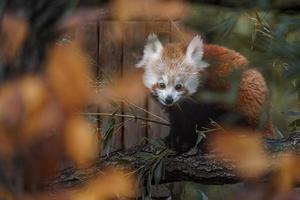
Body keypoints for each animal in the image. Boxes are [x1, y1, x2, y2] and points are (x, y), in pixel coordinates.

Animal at [137, 33, 274, 152]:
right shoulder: (177, 110)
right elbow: (177, 120)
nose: (169, 99)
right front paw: (173, 139)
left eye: (179, 86)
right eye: (162, 84)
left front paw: (186, 142)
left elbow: (197, 121)